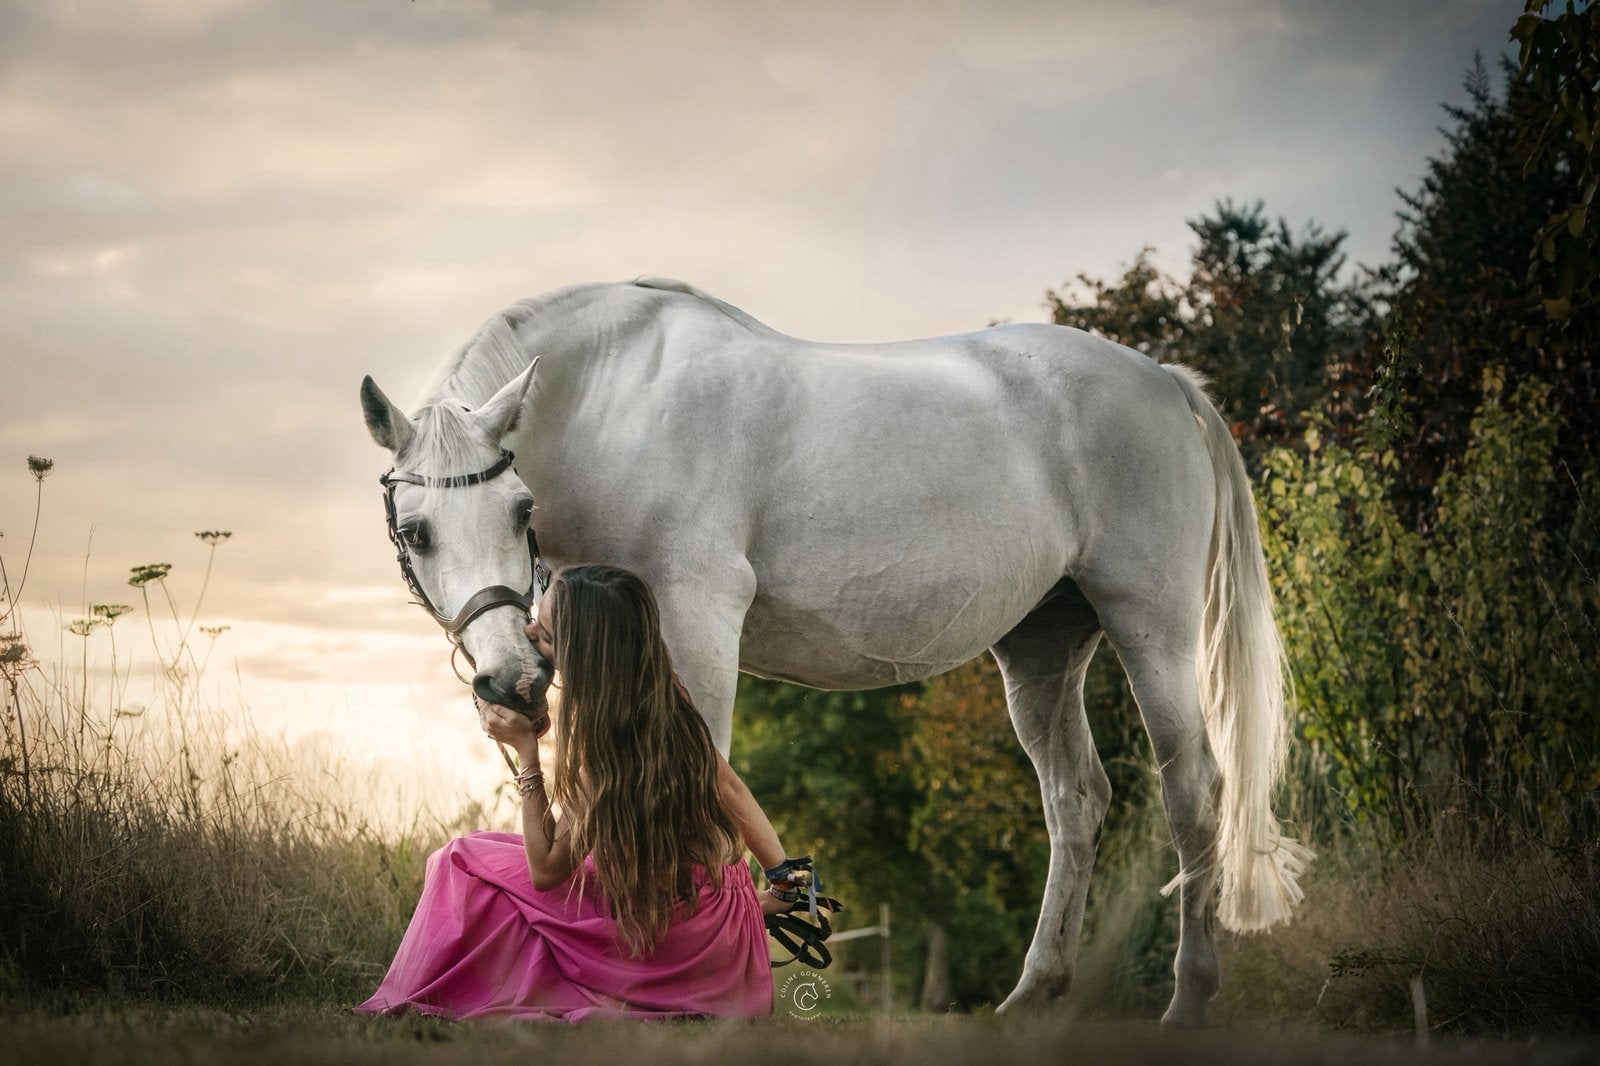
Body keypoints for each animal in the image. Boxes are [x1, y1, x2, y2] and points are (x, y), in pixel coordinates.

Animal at [359, 277, 1312, 1025]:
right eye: (417, 531)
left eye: (518, 510)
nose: (512, 683)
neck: (614, 403)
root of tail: (1165, 382)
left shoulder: (698, 615)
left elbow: (703, 779)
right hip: (1042, 645)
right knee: (1076, 798)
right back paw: (1034, 995)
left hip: (1151, 626)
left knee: (1194, 794)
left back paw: (1188, 1001)